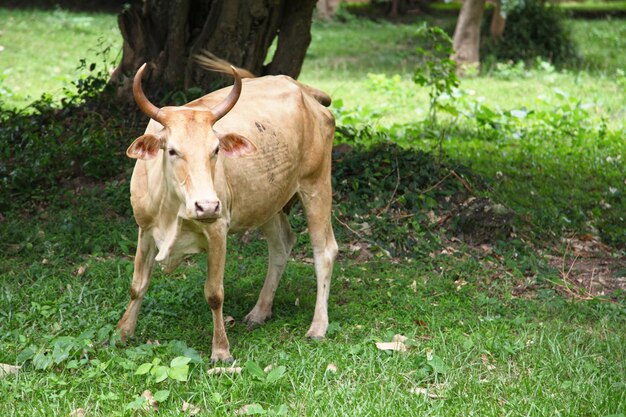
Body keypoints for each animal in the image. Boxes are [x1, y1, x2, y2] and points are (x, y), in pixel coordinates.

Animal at [116, 57, 336, 360]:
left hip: (316, 185)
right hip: (267, 201)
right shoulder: (145, 229)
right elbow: (137, 285)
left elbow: (214, 293)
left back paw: (318, 326)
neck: (172, 210)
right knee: (281, 245)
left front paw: (221, 350)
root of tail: (301, 89)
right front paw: (122, 333)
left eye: (216, 149)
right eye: (172, 150)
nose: (207, 205)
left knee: (324, 251)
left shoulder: (218, 231)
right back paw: (260, 311)